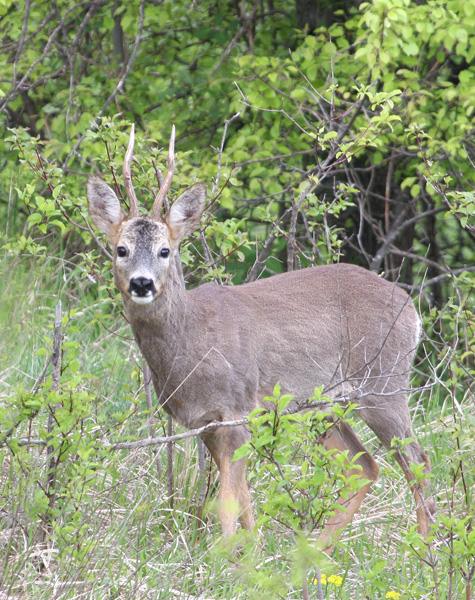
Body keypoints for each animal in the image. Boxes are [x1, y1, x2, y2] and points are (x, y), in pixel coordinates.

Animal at [87, 126, 436, 552]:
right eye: (120, 249)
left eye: (165, 250)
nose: (141, 283)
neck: (192, 343)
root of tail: (411, 308)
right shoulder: (206, 422)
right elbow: (245, 498)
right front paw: (252, 553)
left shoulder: (237, 408)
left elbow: (226, 502)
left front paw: (225, 561)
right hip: (321, 404)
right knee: (364, 465)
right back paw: (314, 554)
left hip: (384, 383)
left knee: (417, 461)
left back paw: (423, 553)